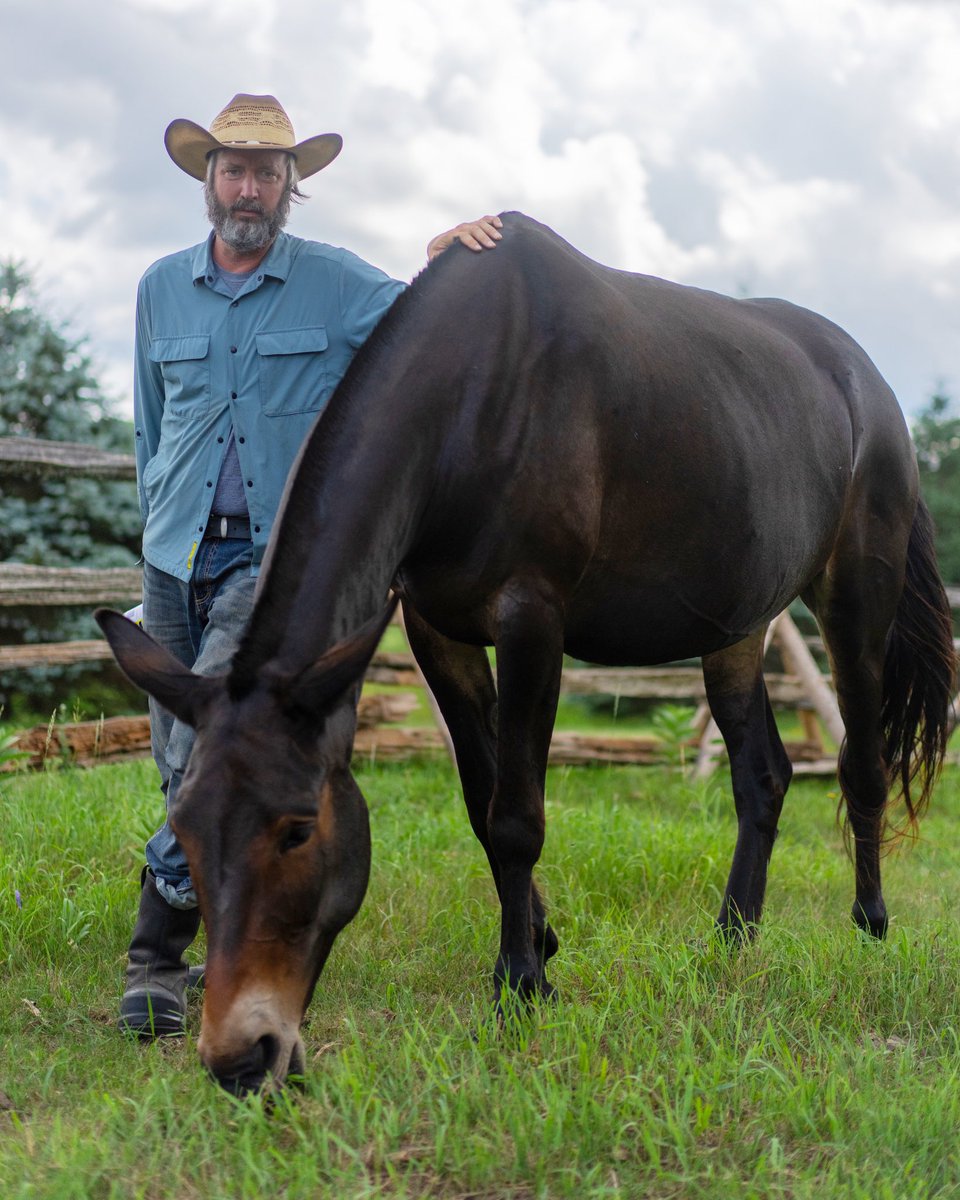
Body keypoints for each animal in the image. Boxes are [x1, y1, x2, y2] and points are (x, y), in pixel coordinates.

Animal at [97, 212, 955, 1094]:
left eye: (297, 830)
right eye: (185, 828)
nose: (241, 1057)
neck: (472, 399)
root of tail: (874, 388)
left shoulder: (531, 621)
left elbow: (515, 816)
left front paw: (518, 985)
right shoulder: (438, 630)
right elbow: (483, 805)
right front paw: (539, 947)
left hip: (856, 600)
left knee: (863, 765)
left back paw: (869, 927)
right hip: (739, 629)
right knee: (764, 778)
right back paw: (732, 939)